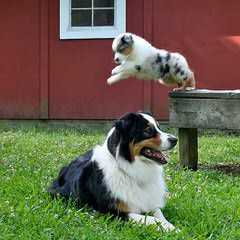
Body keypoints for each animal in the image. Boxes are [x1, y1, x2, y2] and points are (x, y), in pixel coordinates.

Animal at [48, 111, 178, 232]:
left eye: (158, 127)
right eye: (148, 130)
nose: (175, 140)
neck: (129, 169)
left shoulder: (148, 201)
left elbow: (159, 213)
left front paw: (170, 225)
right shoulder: (112, 212)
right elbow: (152, 219)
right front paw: (171, 229)